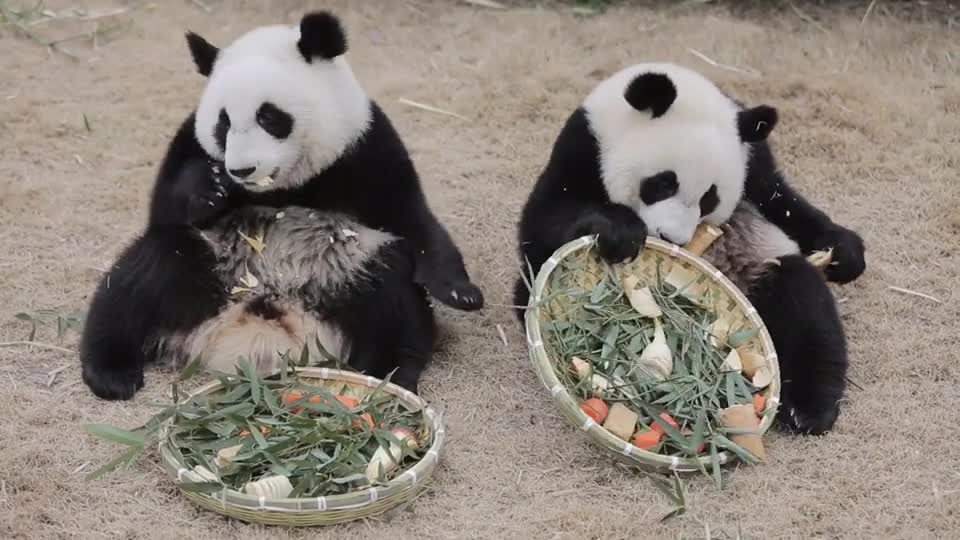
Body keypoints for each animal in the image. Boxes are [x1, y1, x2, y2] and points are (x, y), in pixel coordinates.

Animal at [79, 10, 484, 398]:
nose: (241, 170)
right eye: (223, 123)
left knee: (394, 298)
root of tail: (261, 331)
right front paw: (210, 188)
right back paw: (111, 372)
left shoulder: (365, 147)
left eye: (268, 116)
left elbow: (409, 218)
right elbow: (164, 209)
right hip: (208, 265)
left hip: (347, 271)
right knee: (141, 278)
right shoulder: (188, 142)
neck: (281, 186)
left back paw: (388, 375)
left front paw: (460, 291)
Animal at [516, 62, 872, 434]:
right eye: (662, 183)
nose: (672, 238)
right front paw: (620, 232)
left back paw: (808, 409)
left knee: (804, 304)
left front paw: (844, 253)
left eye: (709, 198)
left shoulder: (754, 160)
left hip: (760, 262)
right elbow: (543, 221)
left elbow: (784, 202)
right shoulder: (583, 148)